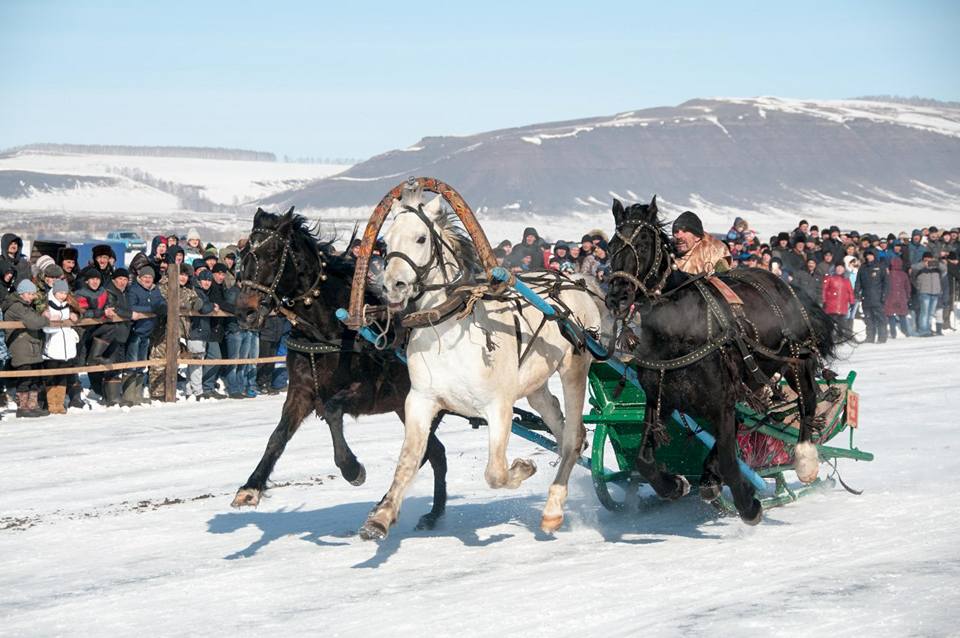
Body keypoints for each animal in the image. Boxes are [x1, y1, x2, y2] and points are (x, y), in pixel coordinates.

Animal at [230, 209, 450, 528]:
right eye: (245, 253)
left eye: (272, 254)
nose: (244, 312)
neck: (331, 329)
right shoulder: (301, 393)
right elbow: (277, 437)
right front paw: (250, 488)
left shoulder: (368, 393)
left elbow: (333, 411)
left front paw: (352, 469)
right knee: (436, 453)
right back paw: (431, 514)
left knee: (426, 454)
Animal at [360, 189, 600, 540]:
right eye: (386, 242)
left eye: (420, 238)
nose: (392, 287)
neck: (448, 334)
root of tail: (574, 280)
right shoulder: (420, 400)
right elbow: (408, 460)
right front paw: (381, 516)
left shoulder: (498, 406)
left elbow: (495, 472)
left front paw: (524, 468)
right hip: (536, 385)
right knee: (566, 429)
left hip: (574, 369)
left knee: (571, 438)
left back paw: (553, 510)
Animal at [608, 199, 848, 524]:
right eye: (611, 245)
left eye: (644, 244)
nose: (617, 297)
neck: (679, 329)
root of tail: (782, 283)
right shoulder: (660, 399)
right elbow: (644, 460)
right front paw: (676, 485)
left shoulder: (721, 401)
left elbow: (729, 459)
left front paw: (748, 504)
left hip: (795, 359)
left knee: (807, 400)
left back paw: (805, 460)